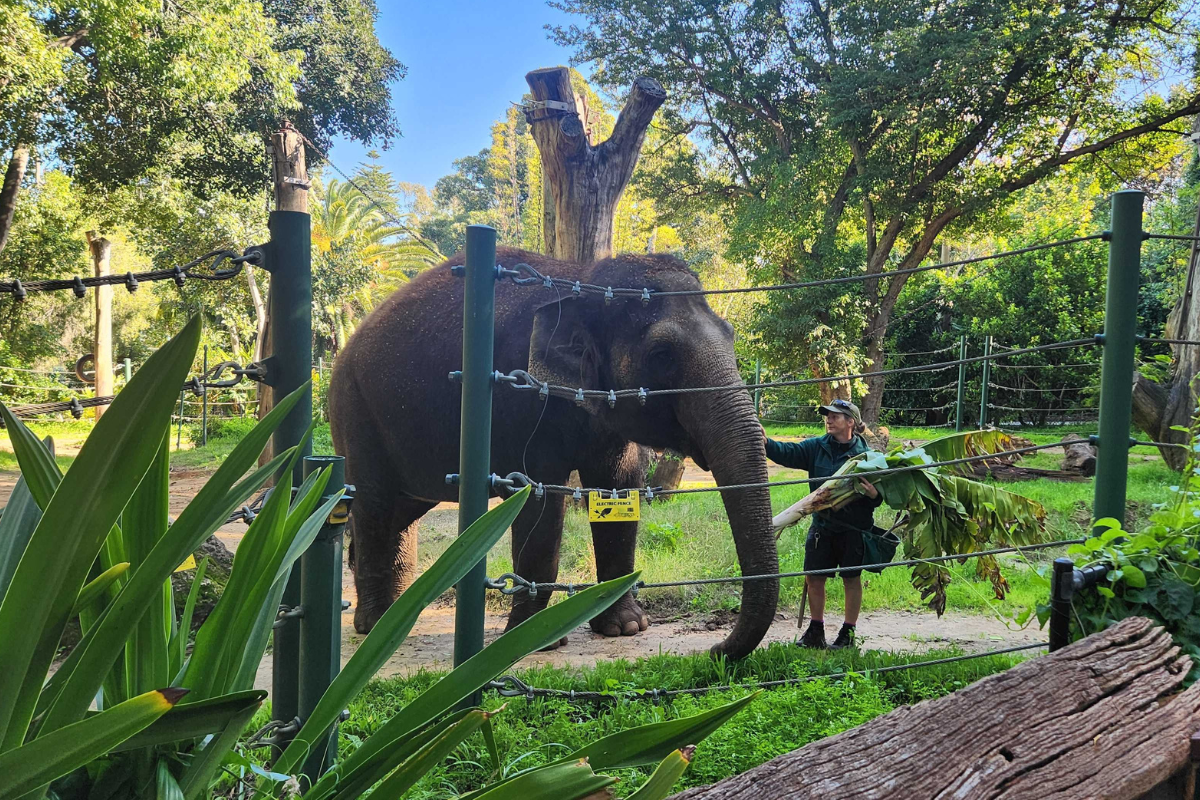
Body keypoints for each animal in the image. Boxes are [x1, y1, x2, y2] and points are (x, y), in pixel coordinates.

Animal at [331, 247, 777, 662]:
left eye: (731, 334)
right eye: (662, 355)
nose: (715, 650)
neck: (582, 282)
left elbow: (619, 490)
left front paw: (625, 628)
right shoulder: (522, 401)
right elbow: (538, 500)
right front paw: (533, 640)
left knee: (401, 512)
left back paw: (401, 617)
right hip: (354, 412)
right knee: (374, 505)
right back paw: (376, 628)